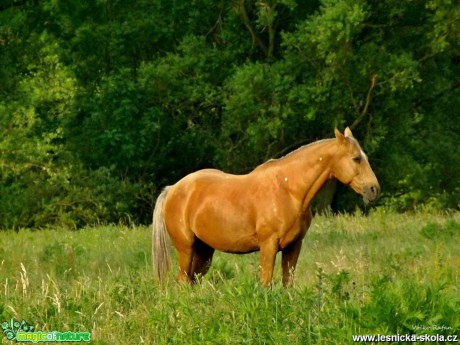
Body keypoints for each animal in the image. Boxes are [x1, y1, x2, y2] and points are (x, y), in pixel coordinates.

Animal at [153, 127, 380, 286]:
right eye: (356, 158)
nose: (374, 189)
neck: (289, 191)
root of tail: (173, 189)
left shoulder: (293, 247)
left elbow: (288, 284)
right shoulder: (269, 246)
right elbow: (266, 284)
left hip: (203, 252)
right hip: (186, 249)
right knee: (183, 281)